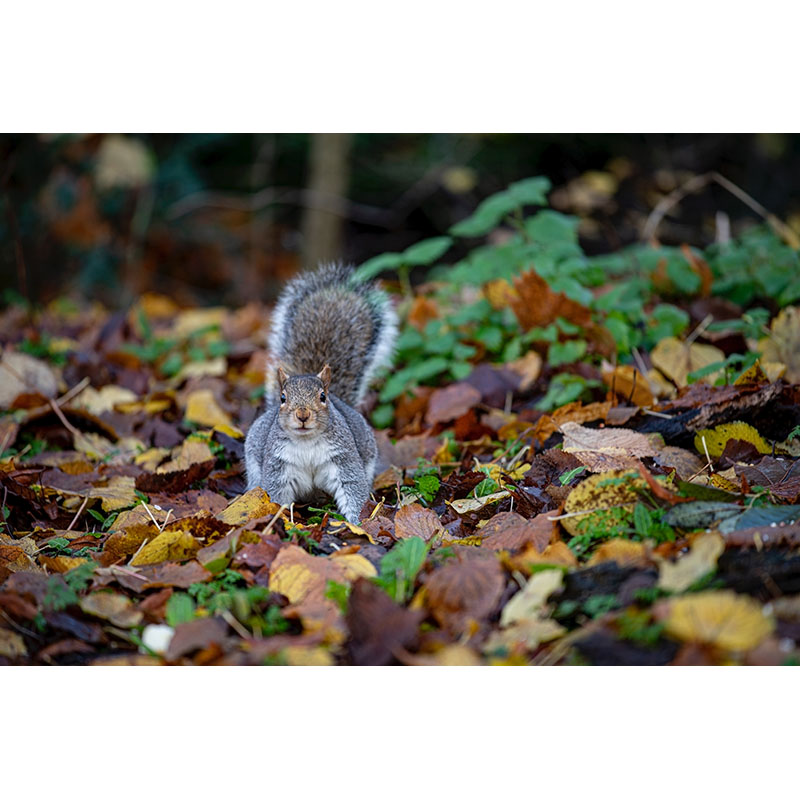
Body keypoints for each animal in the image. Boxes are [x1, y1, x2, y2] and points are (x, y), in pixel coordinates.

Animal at [242, 262, 396, 524]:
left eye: (323, 397)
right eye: (283, 398)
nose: (303, 415)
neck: (307, 442)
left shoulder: (344, 459)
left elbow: (353, 488)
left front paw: (357, 523)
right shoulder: (277, 465)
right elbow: (275, 495)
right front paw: (279, 521)